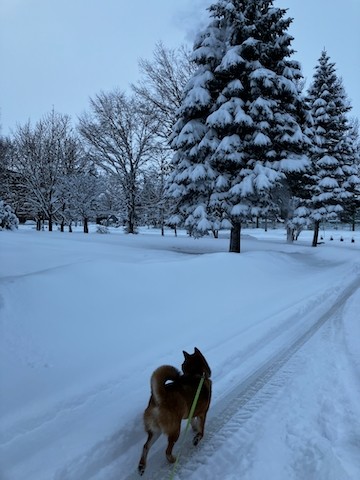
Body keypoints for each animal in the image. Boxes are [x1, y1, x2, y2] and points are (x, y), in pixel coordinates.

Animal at [138, 346, 211, 474]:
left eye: (182, 364)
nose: (181, 368)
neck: (197, 373)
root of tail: (159, 399)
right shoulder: (203, 413)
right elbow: (201, 431)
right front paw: (196, 438)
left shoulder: (192, 411)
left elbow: (193, 422)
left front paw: (194, 428)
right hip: (175, 429)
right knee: (167, 451)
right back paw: (172, 460)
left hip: (155, 431)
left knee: (146, 446)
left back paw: (142, 466)